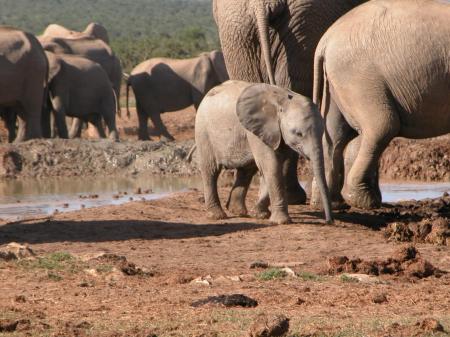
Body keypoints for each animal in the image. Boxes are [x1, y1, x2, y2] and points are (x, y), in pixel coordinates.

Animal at [195, 80, 332, 224]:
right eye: (298, 134)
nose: (328, 221)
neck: (282, 100)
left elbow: (276, 166)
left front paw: (260, 214)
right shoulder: (258, 131)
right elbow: (271, 165)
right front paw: (281, 222)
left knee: (246, 170)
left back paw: (237, 211)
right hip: (203, 131)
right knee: (211, 170)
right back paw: (217, 215)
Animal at [312, 0, 450, 210]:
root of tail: (325, 41)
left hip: (337, 83)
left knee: (334, 135)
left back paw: (331, 203)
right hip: (359, 79)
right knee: (382, 126)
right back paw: (364, 201)